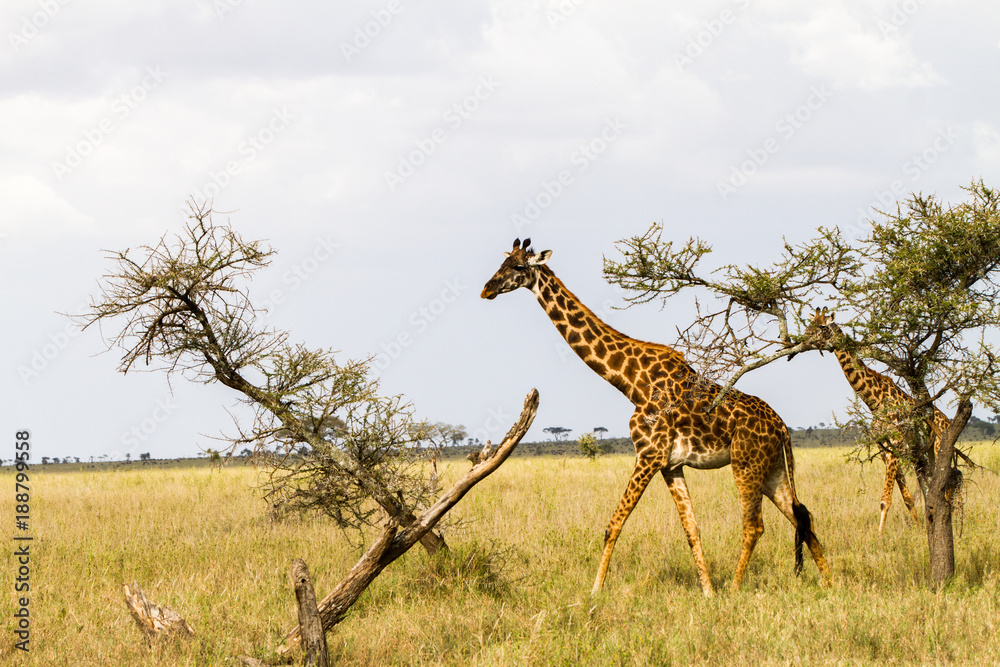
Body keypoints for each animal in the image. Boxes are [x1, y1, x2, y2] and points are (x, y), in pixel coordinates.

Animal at [481, 238, 832, 596]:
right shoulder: (670, 464)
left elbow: (614, 523)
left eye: (518, 267)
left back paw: (736, 589)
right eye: (502, 263)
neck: (632, 382)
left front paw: (595, 591)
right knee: (802, 516)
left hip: (745, 464)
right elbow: (692, 529)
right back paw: (831, 584)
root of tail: (782, 427)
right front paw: (707, 592)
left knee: (755, 525)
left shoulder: (648, 454)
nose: (487, 289)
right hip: (772, 468)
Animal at [793, 308, 953, 533]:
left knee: (945, 490)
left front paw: (879, 535)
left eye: (822, 326)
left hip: (940, 447)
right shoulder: (885, 450)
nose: (804, 339)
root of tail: (947, 420)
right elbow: (907, 498)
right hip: (924, 452)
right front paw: (918, 527)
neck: (874, 401)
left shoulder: (894, 445)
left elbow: (886, 499)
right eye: (810, 323)